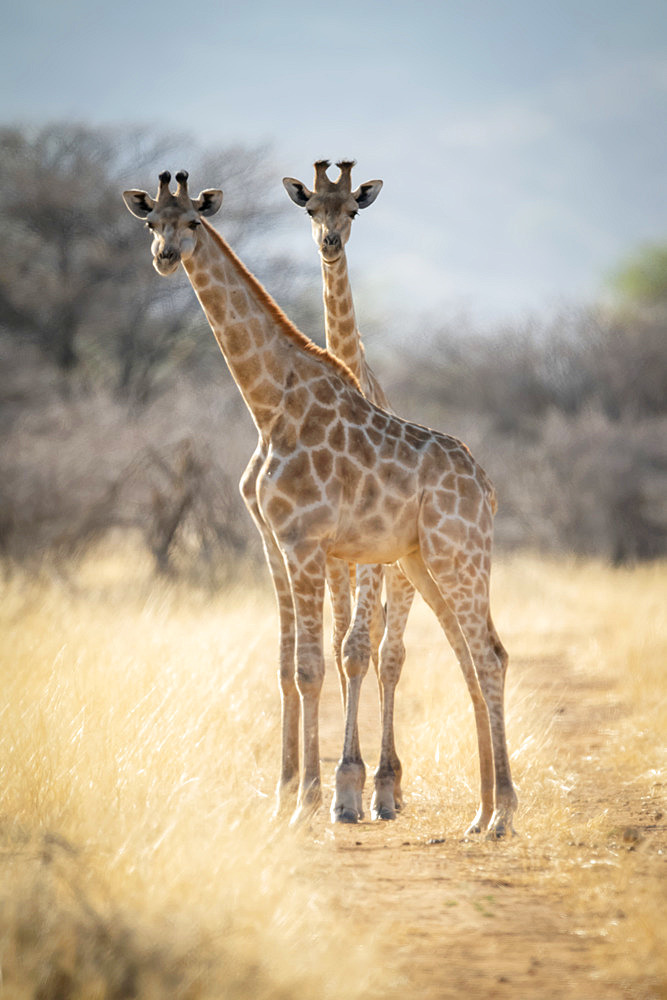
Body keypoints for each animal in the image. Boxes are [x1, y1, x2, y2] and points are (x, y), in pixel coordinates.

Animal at [124, 170, 520, 836]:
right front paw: (302, 796)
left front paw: (311, 801)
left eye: (194, 222)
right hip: (422, 561)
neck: (270, 403)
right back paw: (481, 812)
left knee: (488, 655)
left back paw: (502, 814)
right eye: (153, 222)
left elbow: (315, 666)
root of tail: (486, 485)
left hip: (458, 554)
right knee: (470, 655)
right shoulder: (280, 544)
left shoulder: (306, 543)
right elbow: (294, 665)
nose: (166, 257)